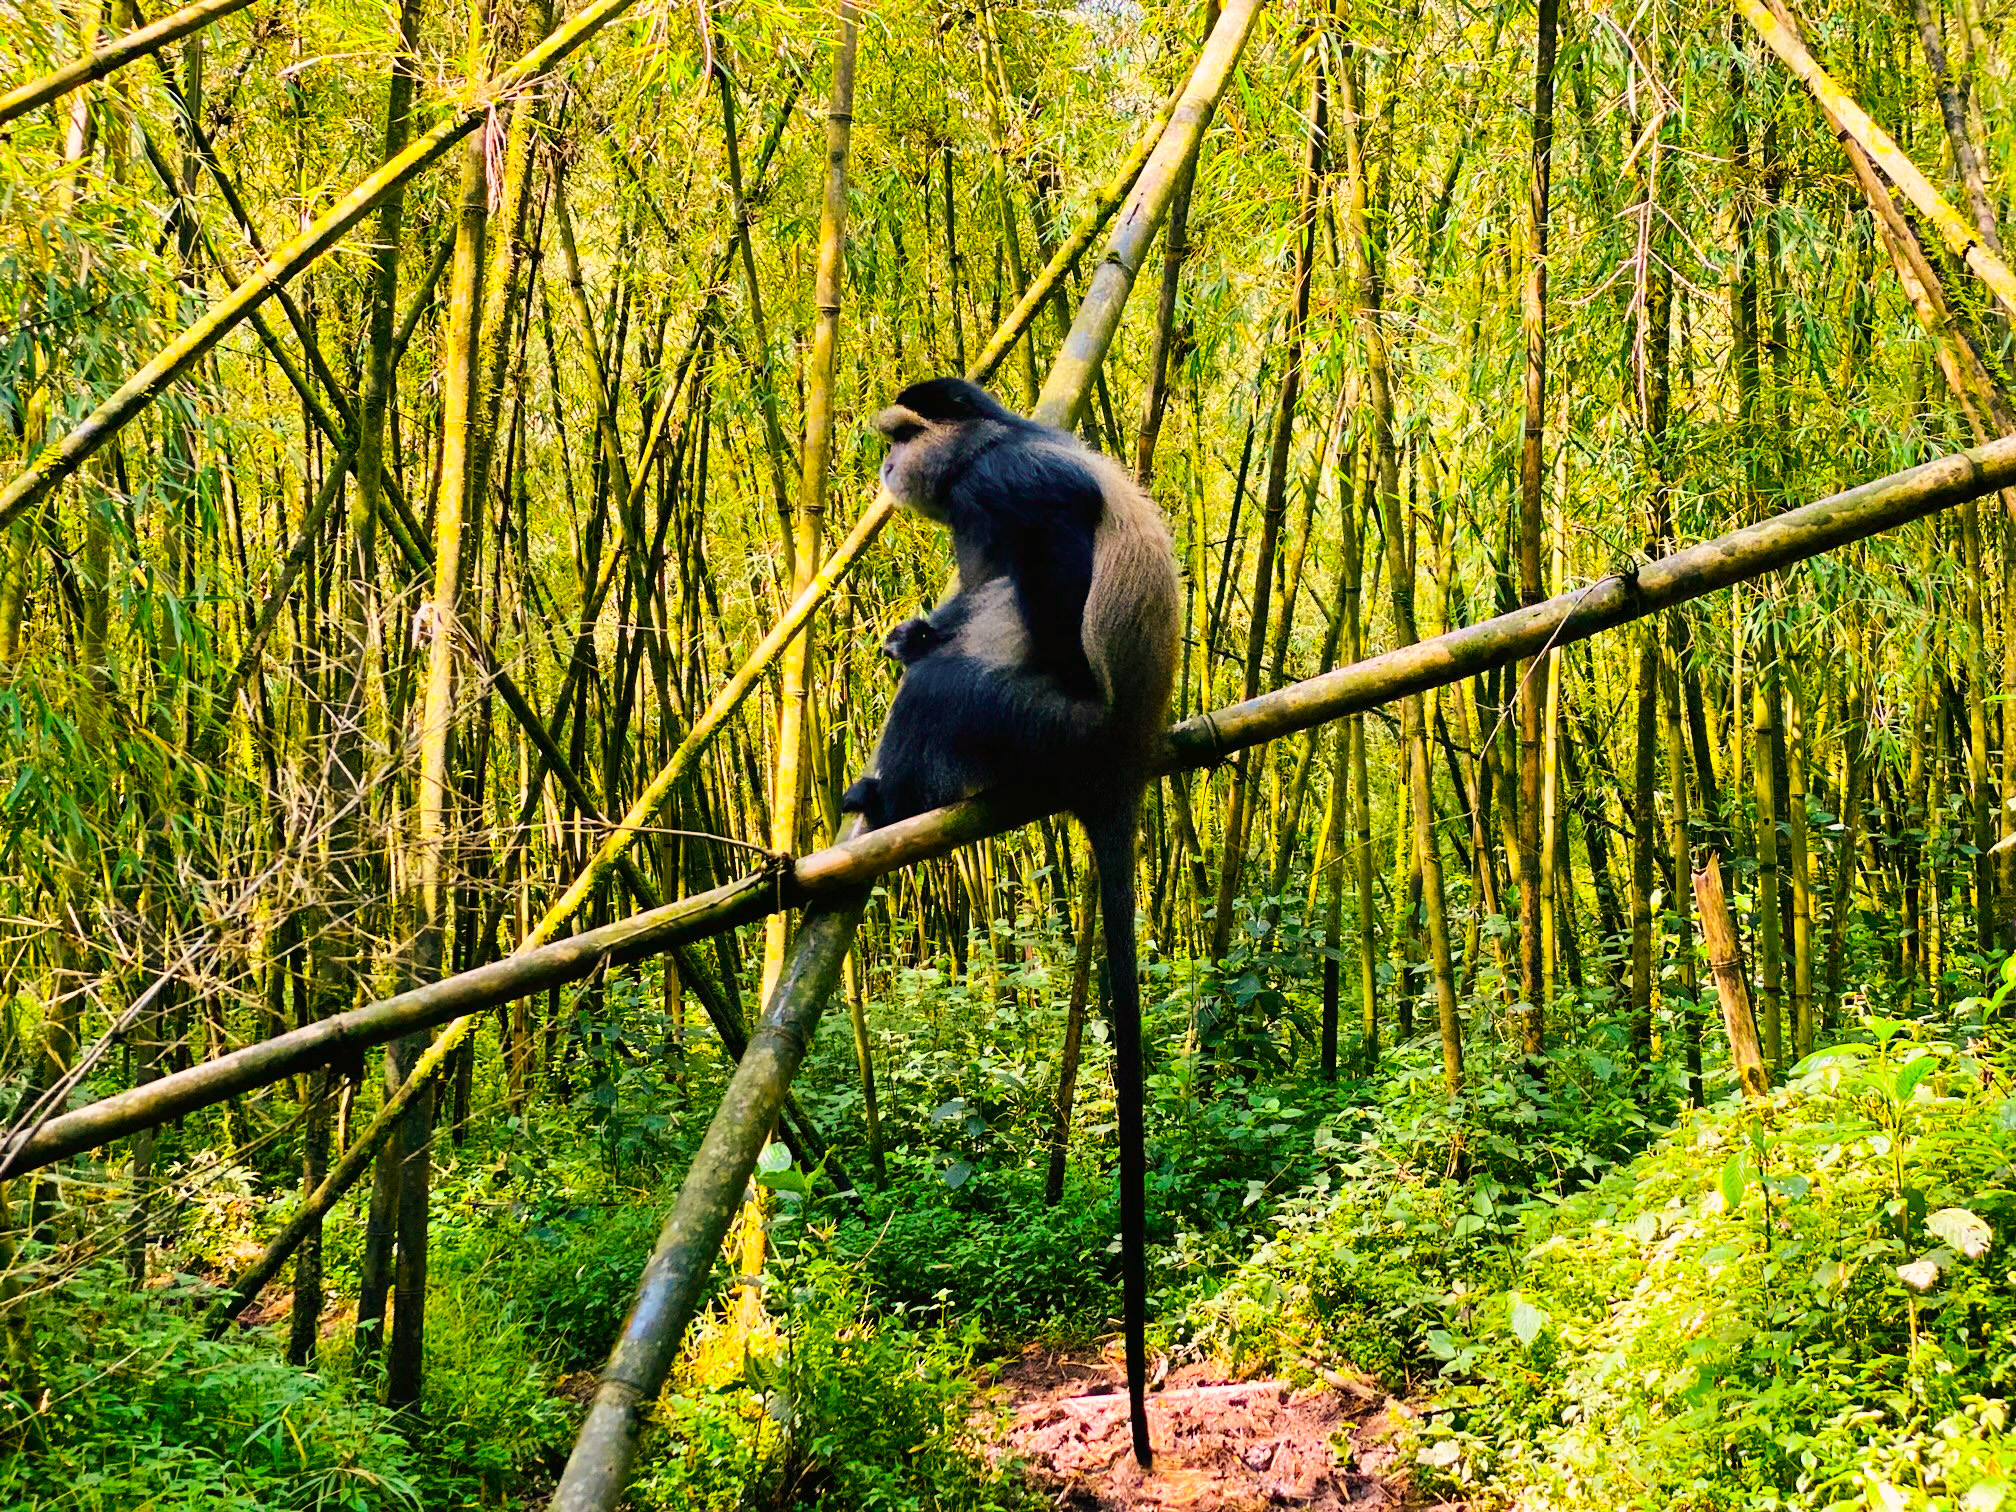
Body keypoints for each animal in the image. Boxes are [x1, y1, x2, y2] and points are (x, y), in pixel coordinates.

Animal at [843, 377, 1179, 1468]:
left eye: (901, 437)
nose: (883, 466)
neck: (994, 437)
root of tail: (1124, 757)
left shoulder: (1006, 486)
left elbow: (1053, 538)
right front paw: (912, 627)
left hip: (1049, 733)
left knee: (954, 689)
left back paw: (891, 795)